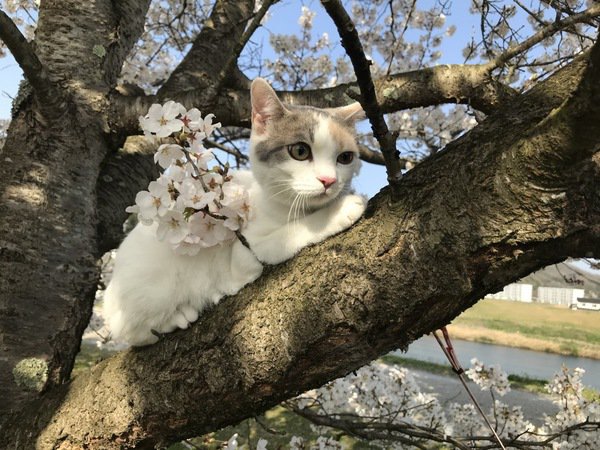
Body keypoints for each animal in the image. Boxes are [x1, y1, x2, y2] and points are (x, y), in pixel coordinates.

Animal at [102, 76, 366, 344]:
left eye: (345, 158)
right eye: (300, 151)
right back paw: (182, 315)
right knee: (132, 331)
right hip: (152, 286)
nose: (329, 180)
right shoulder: (245, 253)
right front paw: (339, 211)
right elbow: (290, 233)